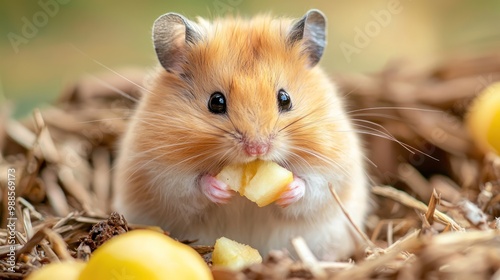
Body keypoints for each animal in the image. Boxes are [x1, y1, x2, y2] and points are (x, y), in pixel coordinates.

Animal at [114, 9, 372, 262]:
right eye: (216, 101)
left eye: (285, 98)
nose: (257, 149)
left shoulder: (334, 165)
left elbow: (314, 186)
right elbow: (188, 186)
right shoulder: (159, 172)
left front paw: (289, 189)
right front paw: (220, 189)